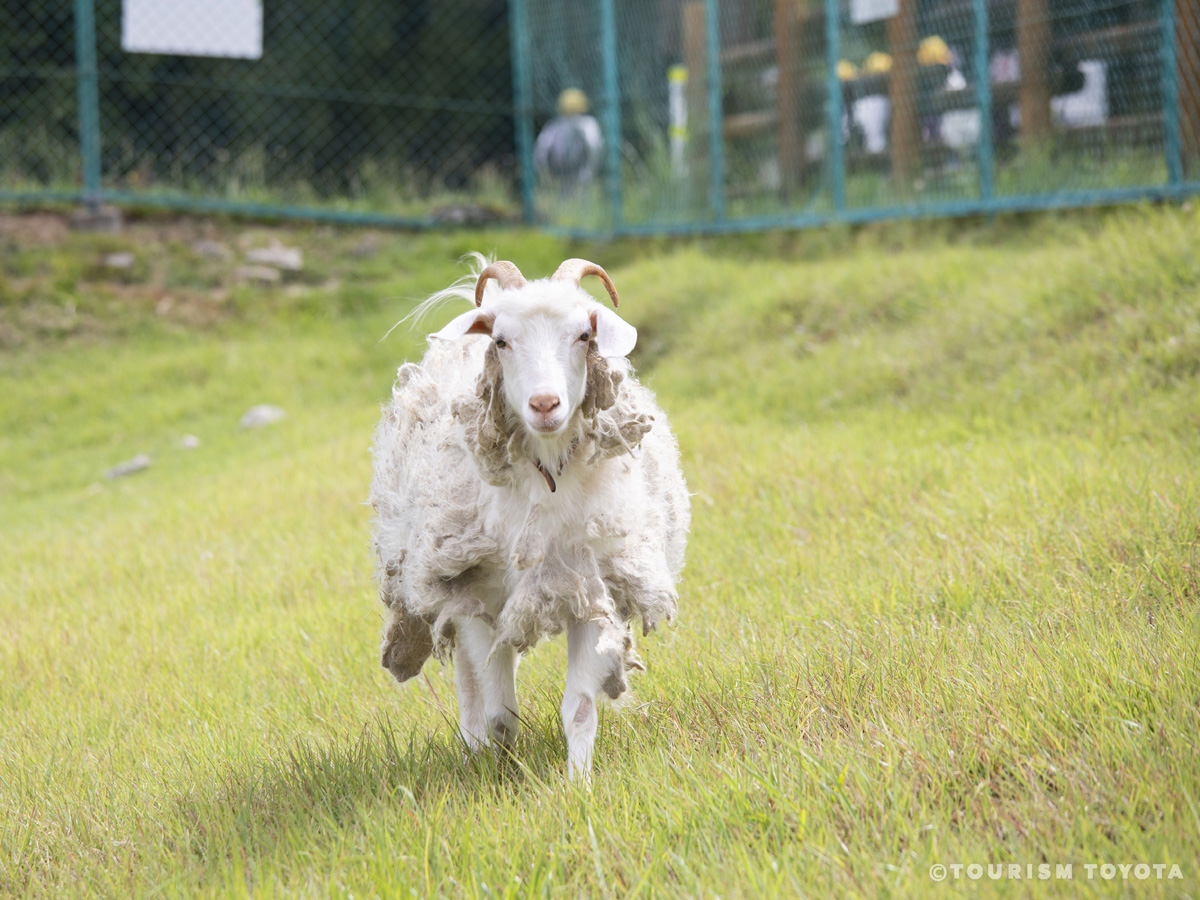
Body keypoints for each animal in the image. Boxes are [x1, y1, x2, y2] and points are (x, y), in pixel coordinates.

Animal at [374, 256, 696, 777]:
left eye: (584, 335)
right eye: (502, 340)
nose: (545, 405)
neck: (546, 472)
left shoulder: (586, 587)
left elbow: (579, 708)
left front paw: (578, 783)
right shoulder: (479, 595)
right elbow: (499, 712)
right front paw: (500, 777)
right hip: (449, 589)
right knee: (470, 687)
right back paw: (474, 750)